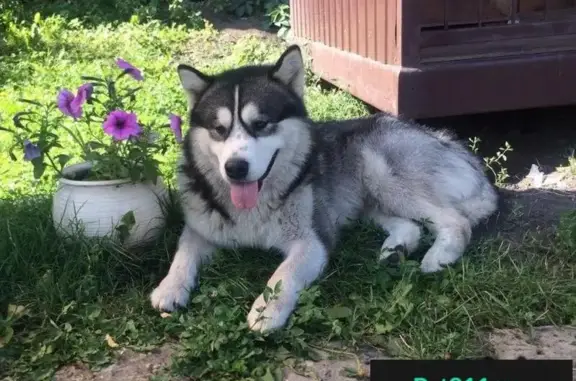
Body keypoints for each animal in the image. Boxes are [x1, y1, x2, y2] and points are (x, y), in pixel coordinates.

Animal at [151, 43, 498, 330]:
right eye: (218, 129)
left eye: (261, 124)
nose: (235, 168)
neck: (254, 209)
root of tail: (450, 143)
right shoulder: (202, 225)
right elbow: (183, 251)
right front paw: (169, 287)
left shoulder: (313, 240)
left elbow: (283, 274)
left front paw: (266, 310)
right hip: (368, 200)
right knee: (411, 225)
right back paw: (394, 251)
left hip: (380, 169)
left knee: (456, 221)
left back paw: (438, 257)